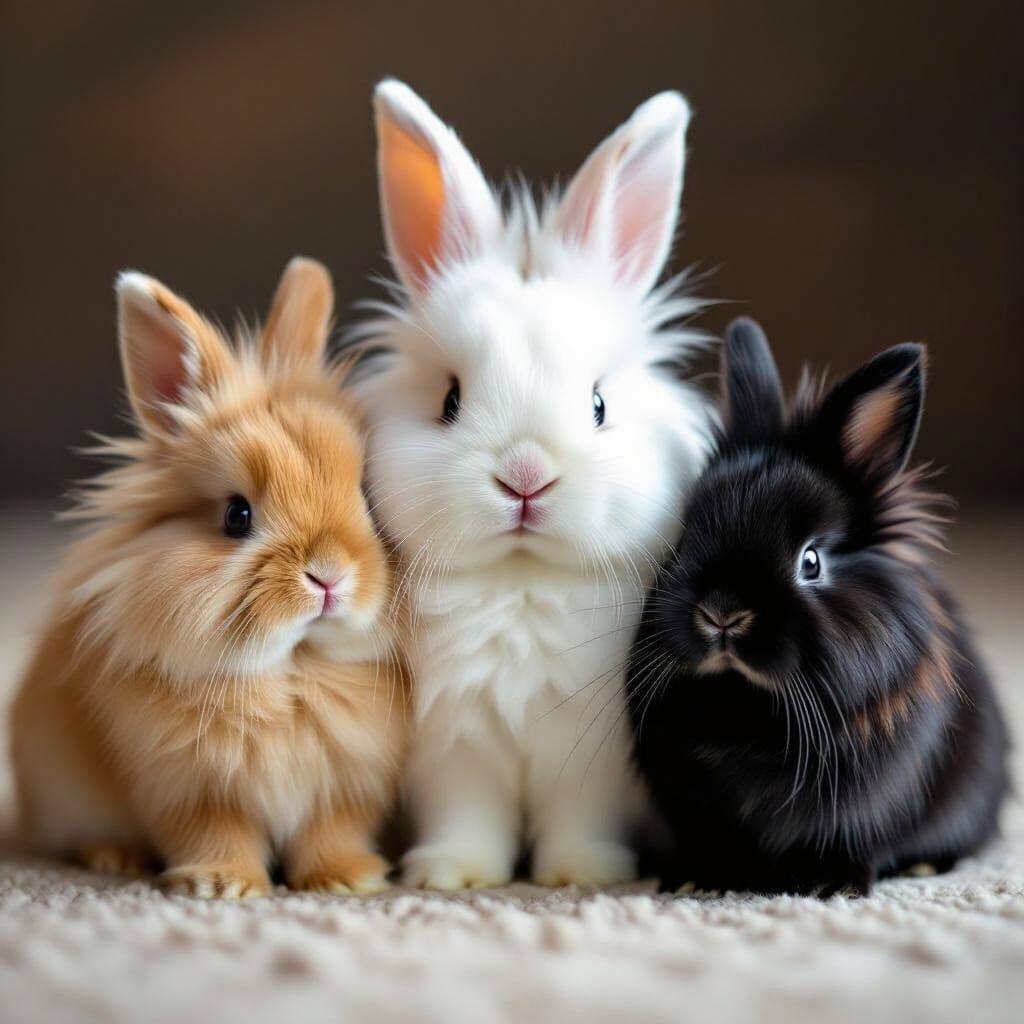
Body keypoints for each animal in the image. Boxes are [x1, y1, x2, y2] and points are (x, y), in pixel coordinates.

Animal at [10, 258, 408, 899]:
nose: (328, 576)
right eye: (236, 516)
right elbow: (215, 833)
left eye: (367, 498)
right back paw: (114, 858)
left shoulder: (346, 789)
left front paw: (346, 880)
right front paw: (222, 886)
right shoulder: (189, 790)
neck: (291, 675)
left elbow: (331, 832)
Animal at [345, 80, 713, 889]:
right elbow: (466, 813)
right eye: (449, 400)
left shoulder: (593, 750)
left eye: (599, 405)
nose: (525, 478)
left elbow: (579, 813)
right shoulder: (453, 743)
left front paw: (582, 873)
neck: (520, 582)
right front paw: (451, 874)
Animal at [627, 317, 1011, 897]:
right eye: (683, 537)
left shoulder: (862, 810)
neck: (746, 709)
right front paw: (692, 881)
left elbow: (854, 842)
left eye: (810, 561)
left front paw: (835, 886)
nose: (721, 613)